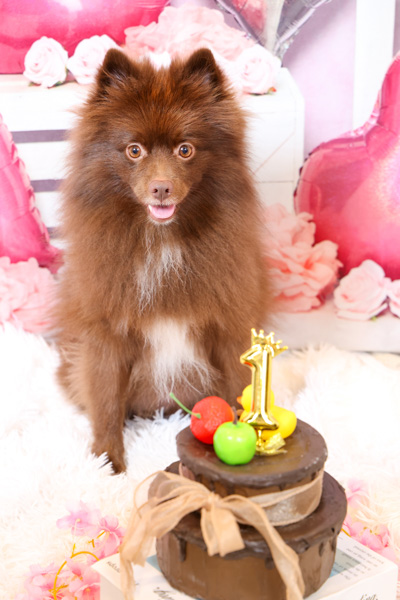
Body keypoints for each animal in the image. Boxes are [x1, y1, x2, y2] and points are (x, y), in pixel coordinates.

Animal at [55, 47, 272, 473]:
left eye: (185, 149)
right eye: (133, 150)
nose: (161, 188)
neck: (163, 242)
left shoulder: (229, 322)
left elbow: (240, 385)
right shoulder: (108, 328)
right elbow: (105, 400)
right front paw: (107, 463)